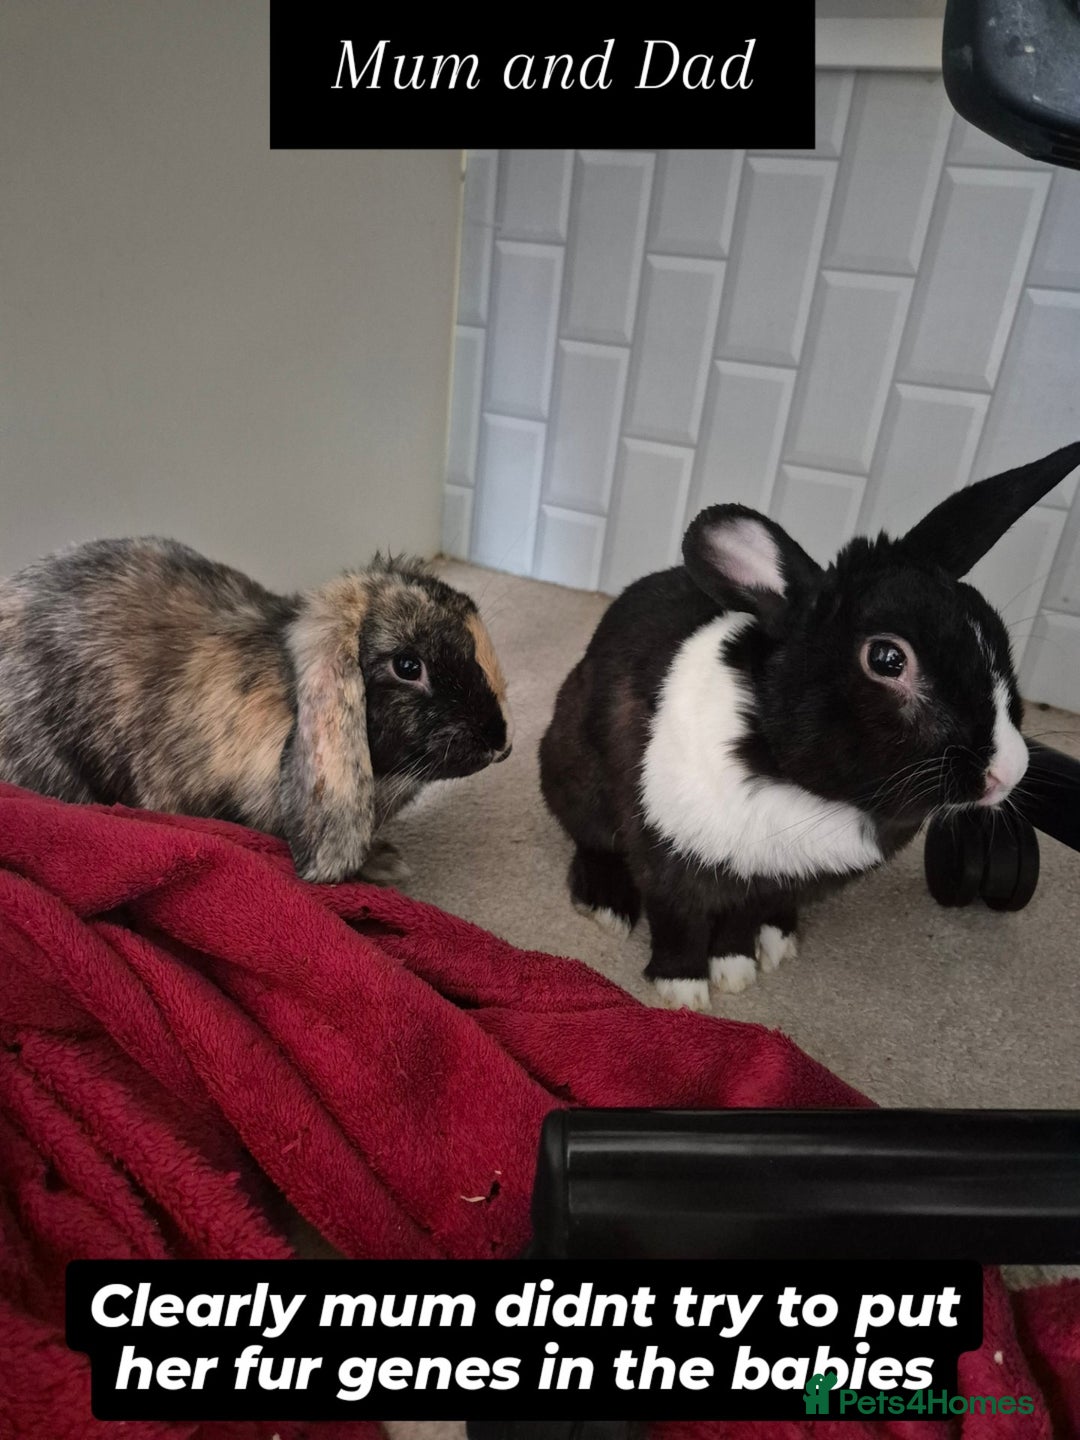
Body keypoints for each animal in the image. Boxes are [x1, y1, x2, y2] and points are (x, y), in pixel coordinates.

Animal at [540, 441, 1080, 1011]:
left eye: (999, 637)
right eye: (887, 659)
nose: (1009, 772)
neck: (800, 786)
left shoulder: (764, 882)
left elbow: (739, 922)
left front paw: (736, 969)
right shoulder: (668, 861)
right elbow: (678, 923)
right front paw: (684, 992)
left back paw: (779, 939)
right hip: (573, 775)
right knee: (592, 841)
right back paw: (605, 904)